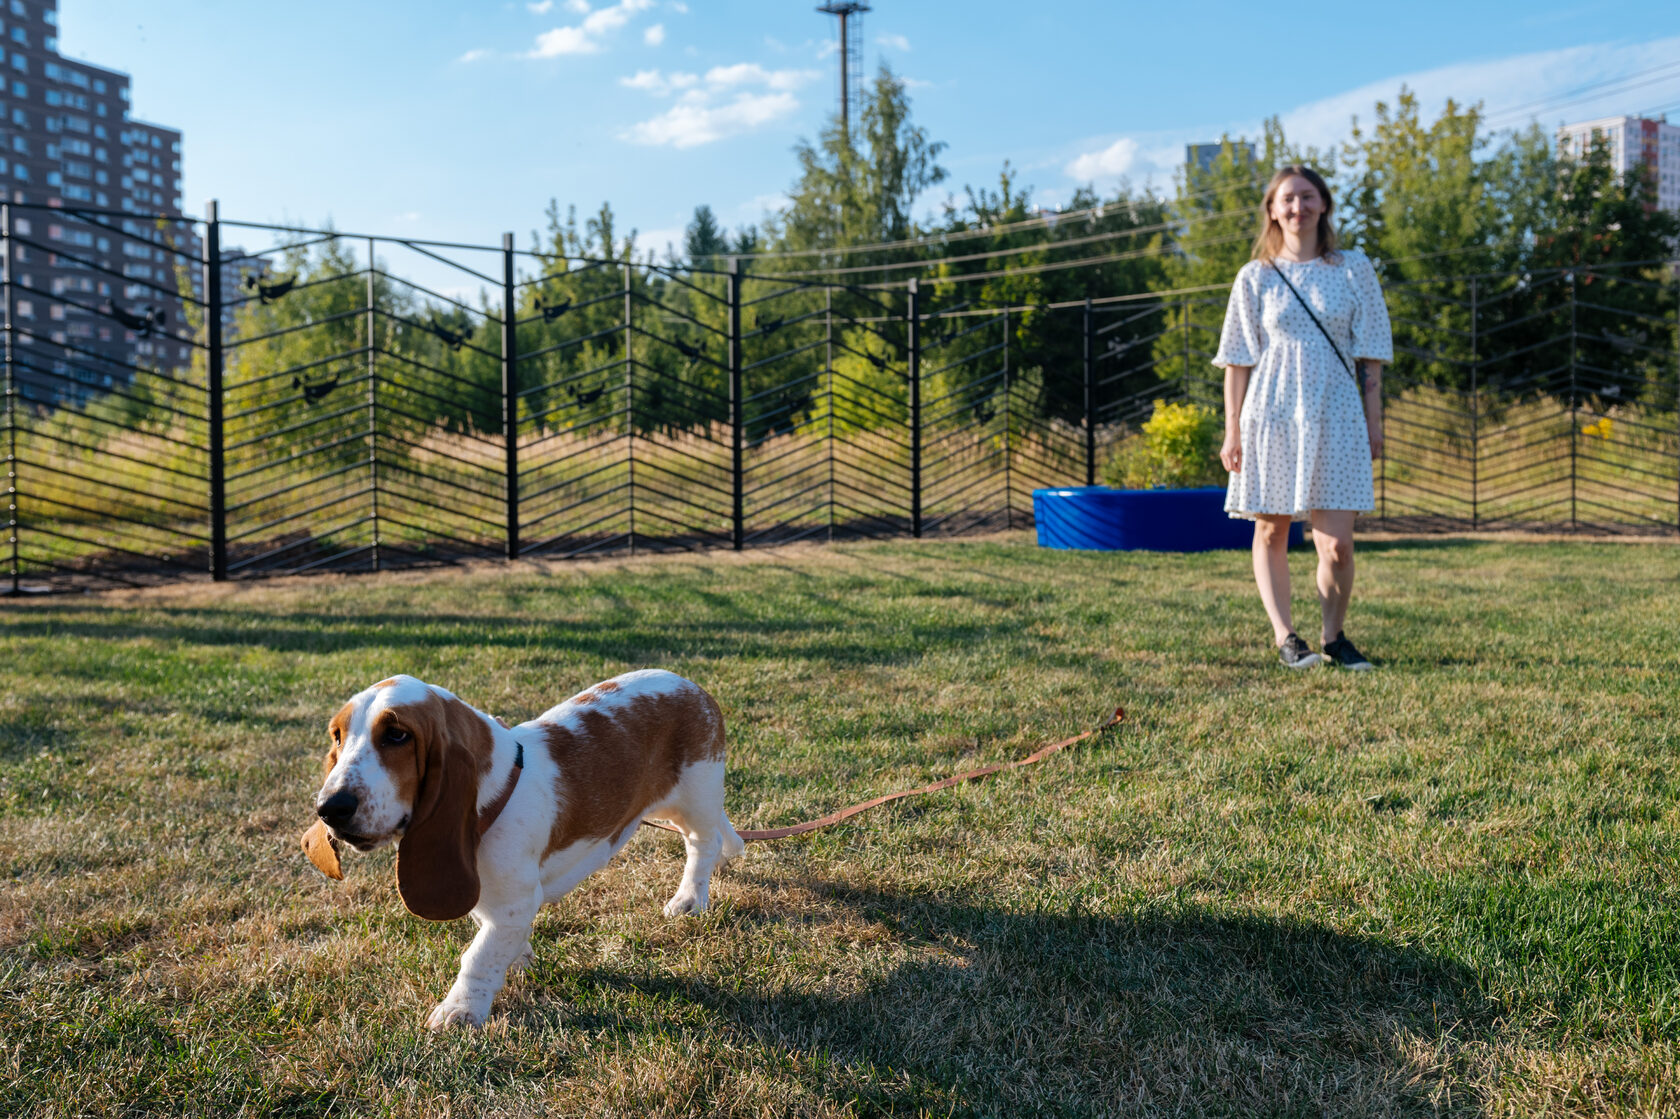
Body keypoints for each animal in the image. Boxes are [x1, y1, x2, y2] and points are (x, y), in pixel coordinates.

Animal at [300, 665, 742, 1021]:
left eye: (396, 735)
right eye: (337, 736)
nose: (329, 808)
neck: (494, 796)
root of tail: (694, 688)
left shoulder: (514, 903)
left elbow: (478, 957)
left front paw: (460, 1011)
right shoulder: (491, 899)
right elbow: (492, 935)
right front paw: (517, 958)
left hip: (695, 796)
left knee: (702, 844)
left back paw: (689, 899)